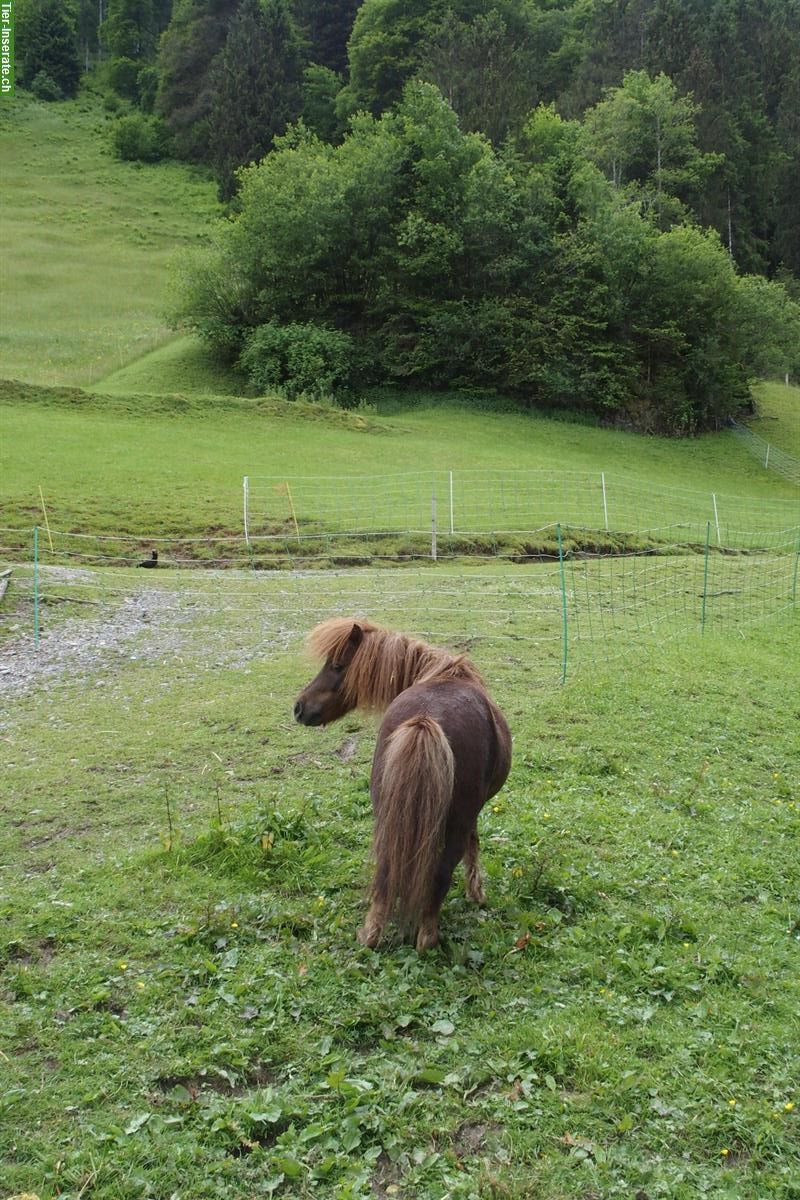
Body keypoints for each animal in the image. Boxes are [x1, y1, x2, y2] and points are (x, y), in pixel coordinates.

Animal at [293, 619, 513, 945]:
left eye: (337, 665)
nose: (299, 707)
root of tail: (425, 719)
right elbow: (474, 844)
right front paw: (477, 892)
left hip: (388, 816)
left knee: (387, 869)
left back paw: (371, 935)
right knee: (440, 874)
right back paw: (426, 937)